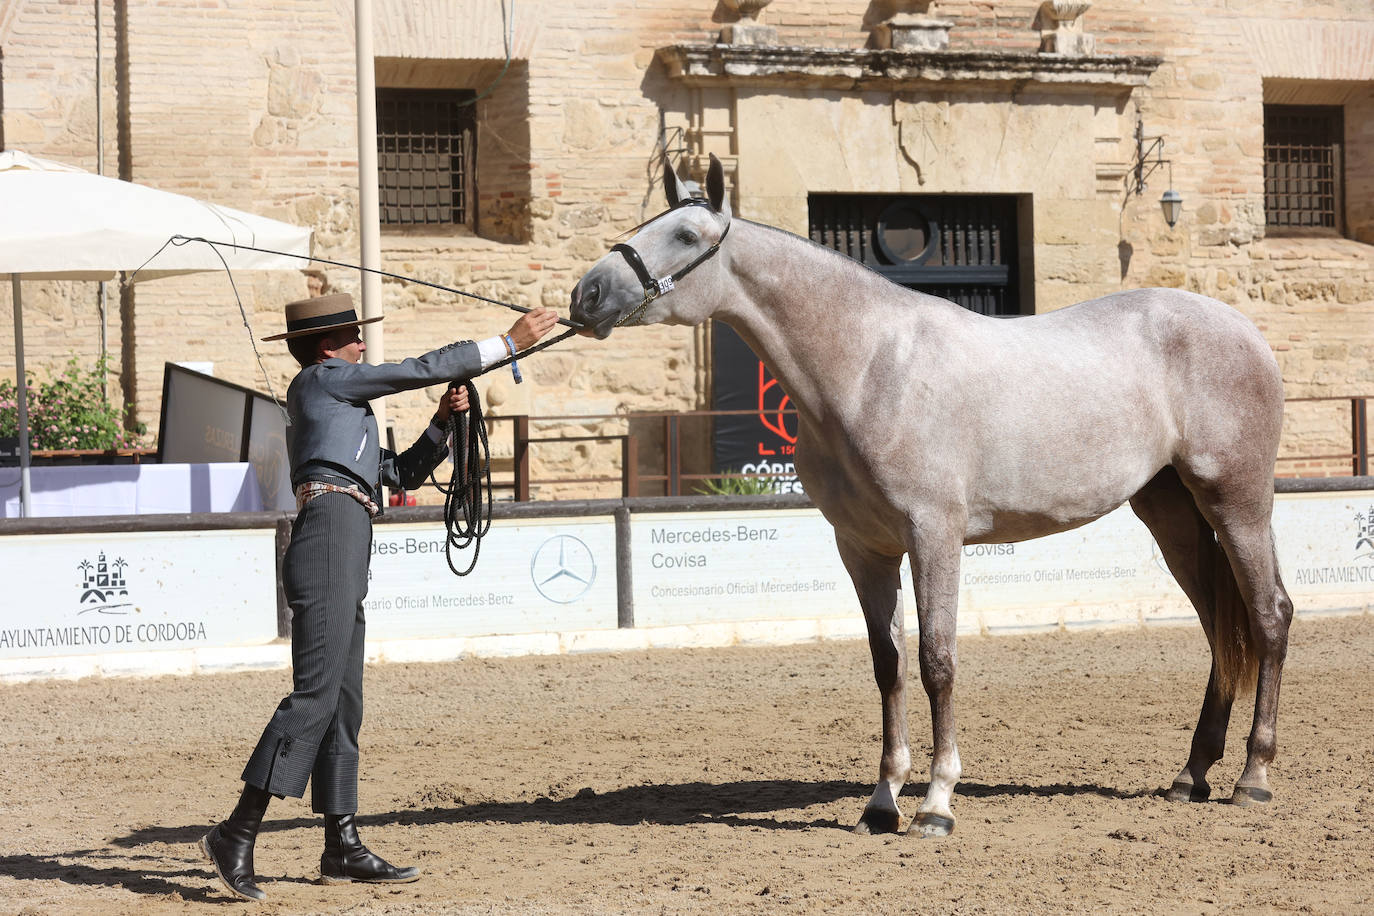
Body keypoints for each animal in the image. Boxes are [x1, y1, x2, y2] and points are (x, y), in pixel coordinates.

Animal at [569, 153, 1294, 837]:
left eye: (686, 234)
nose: (587, 293)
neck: (869, 369)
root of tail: (1247, 333)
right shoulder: (863, 548)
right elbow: (887, 665)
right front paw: (881, 801)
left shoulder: (934, 534)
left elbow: (936, 660)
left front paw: (936, 803)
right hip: (1171, 513)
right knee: (1219, 627)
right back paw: (1192, 774)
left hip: (1237, 501)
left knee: (1269, 616)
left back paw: (1254, 777)